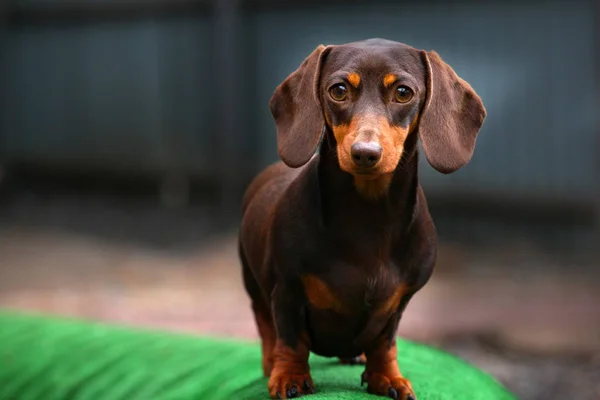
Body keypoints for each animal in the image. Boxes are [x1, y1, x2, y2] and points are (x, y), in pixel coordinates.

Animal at [237, 38, 486, 400]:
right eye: (338, 90)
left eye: (403, 92)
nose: (365, 153)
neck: (369, 216)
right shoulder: (286, 290)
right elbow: (290, 339)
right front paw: (289, 376)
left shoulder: (399, 303)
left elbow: (385, 343)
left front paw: (387, 377)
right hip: (252, 281)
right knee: (265, 324)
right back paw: (272, 364)